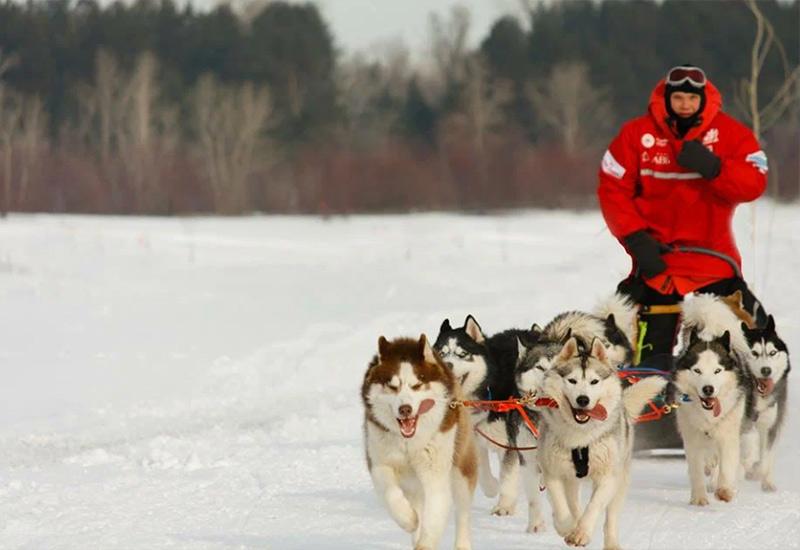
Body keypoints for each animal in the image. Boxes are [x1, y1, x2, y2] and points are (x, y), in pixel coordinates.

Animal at [364, 334, 482, 548]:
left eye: (417, 385)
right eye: (392, 386)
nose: (405, 409)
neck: (409, 444)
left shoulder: (435, 475)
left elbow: (434, 517)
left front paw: (425, 542)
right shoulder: (380, 464)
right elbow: (391, 494)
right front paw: (408, 519)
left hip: (461, 467)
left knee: (462, 512)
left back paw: (462, 543)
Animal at [434, 314, 540, 528]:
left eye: (462, 354)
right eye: (442, 353)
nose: (447, 365)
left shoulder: (510, 441)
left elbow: (507, 475)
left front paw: (504, 506)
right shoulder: (474, 438)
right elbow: (483, 472)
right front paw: (492, 487)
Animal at [536, 338, 668, 548]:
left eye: (594, 381)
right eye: (572, 380)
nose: (583, 399)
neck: (581, 437)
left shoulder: (608, 477)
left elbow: (594, 505)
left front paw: (581, 533)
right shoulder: (552, 472)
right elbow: (561, 506)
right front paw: (567, 527)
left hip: (620, 483)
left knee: (611, 518)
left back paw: (611, 543)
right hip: (571, 480)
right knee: (573, 504)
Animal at [672, 296, 752, 506]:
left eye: (717, 370)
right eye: (697, 370)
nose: (708, 389)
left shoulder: (728, 433)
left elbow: (726, 466)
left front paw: (723, 490)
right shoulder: (691, 436)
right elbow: (696, 469)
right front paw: (699, 498)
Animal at [740, 316, 792, 494]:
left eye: (772, 353)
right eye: (754, 353)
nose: (766, 370)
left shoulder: (770, 426)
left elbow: (765, 458)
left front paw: (763, 478)